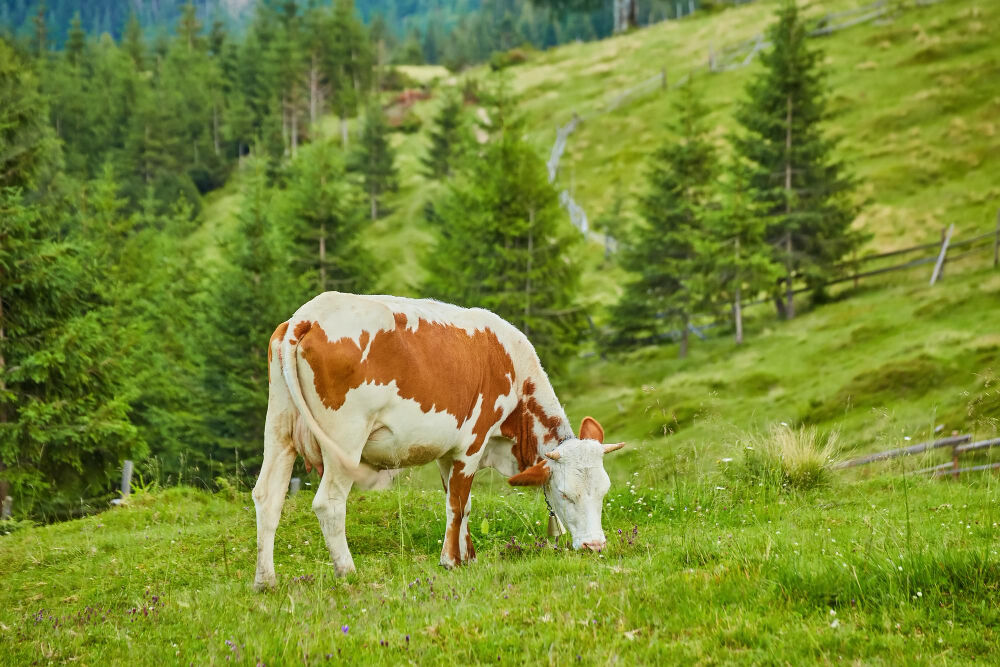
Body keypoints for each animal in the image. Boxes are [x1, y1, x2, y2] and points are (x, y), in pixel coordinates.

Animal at [252, 292, 626, 590]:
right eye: (565, 494)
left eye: (603, 492)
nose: (595, 546)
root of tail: (307, 316)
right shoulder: (471, 443)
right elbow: (457, 504)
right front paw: (450, 561)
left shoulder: (448, 452)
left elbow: (463, 504)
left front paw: (468, 555)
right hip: (345, 439)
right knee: (328, 503)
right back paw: (348, 572)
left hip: (279, 429)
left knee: (267, 496)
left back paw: (265, 580)